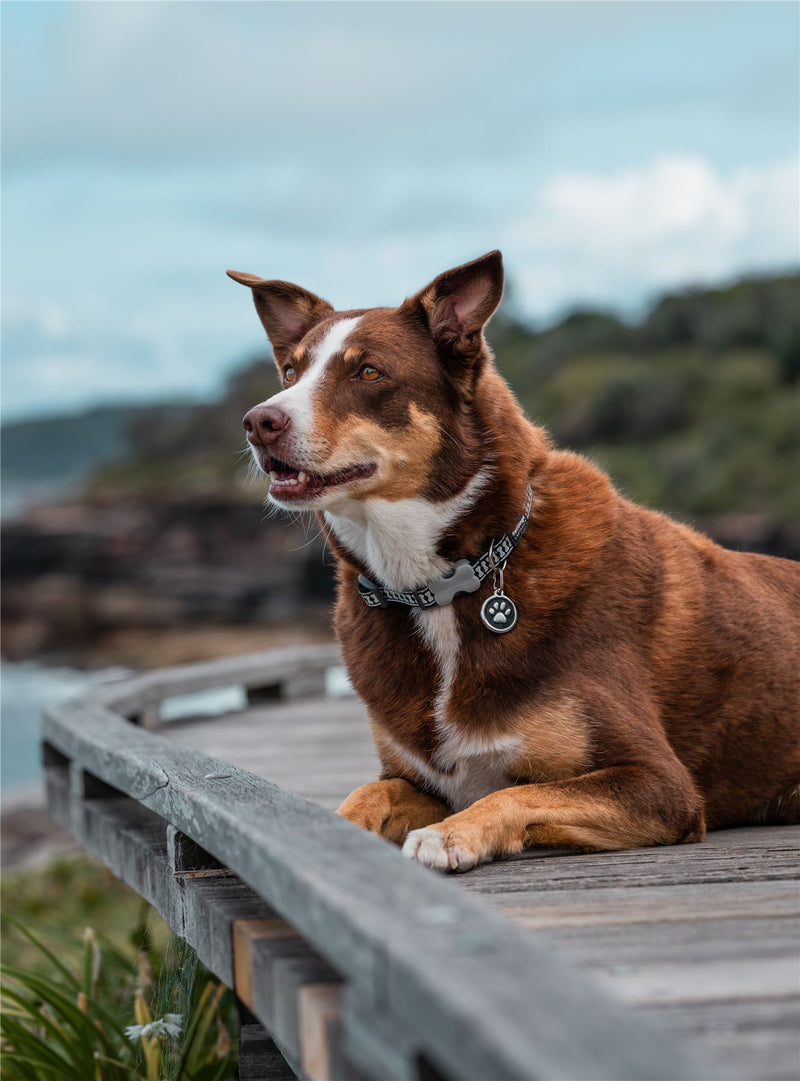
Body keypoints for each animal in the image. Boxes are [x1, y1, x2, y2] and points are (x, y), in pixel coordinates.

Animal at [231, 250, 799, 869]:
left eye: (369, 373)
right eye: (291, 374)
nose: (258, 422)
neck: (439, 586)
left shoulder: (659, 783)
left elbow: (516, 793)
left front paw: (449, 835)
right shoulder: (418, 779)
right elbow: (367, 793)